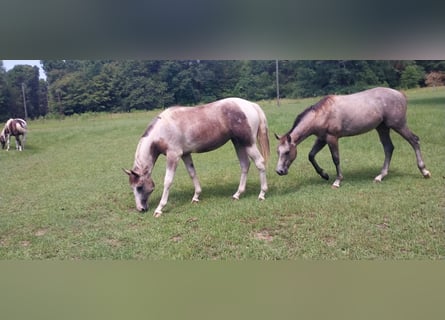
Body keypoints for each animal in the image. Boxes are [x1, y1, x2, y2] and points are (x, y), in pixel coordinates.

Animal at [125, 97, 270, 218]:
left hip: (248, 144)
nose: (141, 209)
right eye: (132, 187)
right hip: (238, 143)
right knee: (245, 165)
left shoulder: (173, 156)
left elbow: (168, 181)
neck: (162, 130)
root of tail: (251, 105)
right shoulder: (185, 154)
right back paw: (237, 194)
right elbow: (192, 173)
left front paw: (159, 209)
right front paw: (196, 197)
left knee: (260, 163)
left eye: (139, 187)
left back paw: (262, 194)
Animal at [274, 86, 430, 189]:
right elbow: (311, 155)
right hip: (382, 128)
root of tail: (400, 94)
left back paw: (424, 171)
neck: (322, 113)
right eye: (278, 152)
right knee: (388, 148)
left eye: (287, 152)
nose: (279, 171)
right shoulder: (322, 139)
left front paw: (337, 181)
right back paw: (380, 176)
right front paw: (324, 174)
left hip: (398, 125)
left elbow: (336, 159)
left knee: (414, 141)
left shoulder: (332, 138)